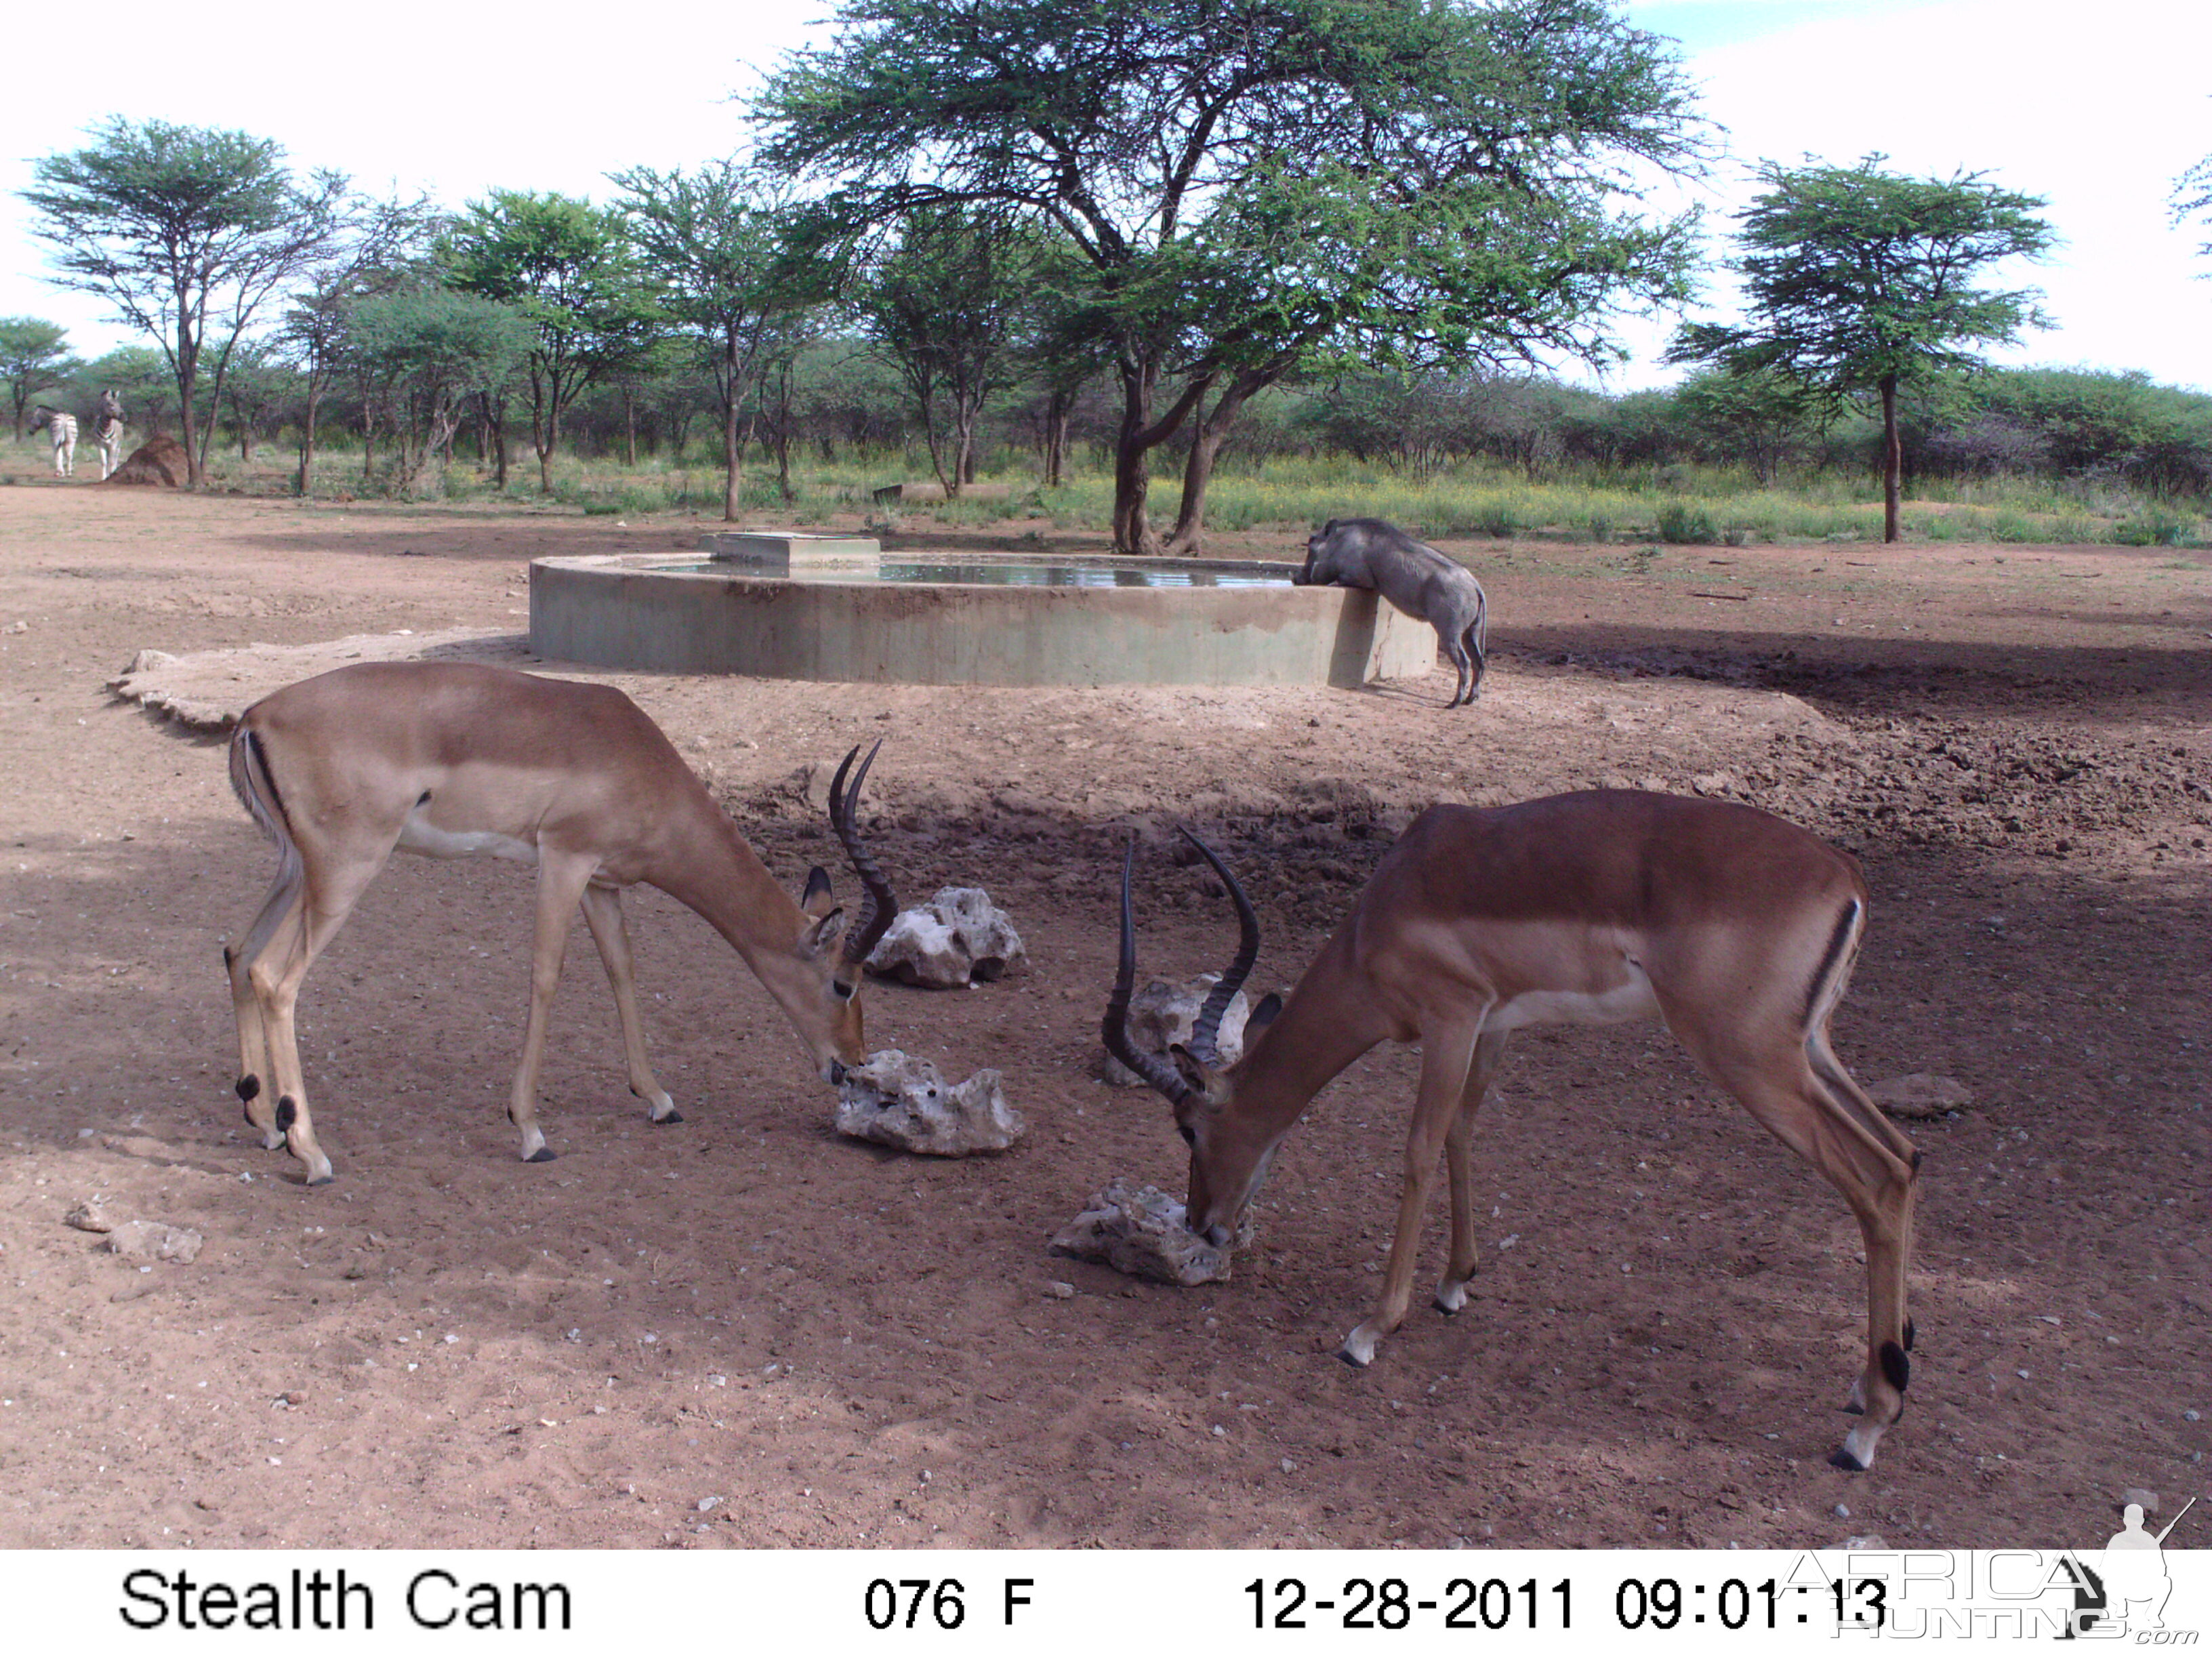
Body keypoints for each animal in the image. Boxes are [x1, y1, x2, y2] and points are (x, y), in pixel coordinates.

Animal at [91, 393, 124, 484]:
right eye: (112, 405)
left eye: (119, 404)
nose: (124, 417)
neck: (106, 428)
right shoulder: (100, 445)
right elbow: (104, 462)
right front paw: (103, 478)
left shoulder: (113, 444)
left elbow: (112, 462)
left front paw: (111, 475)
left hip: (118, 445)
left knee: (116, 458)